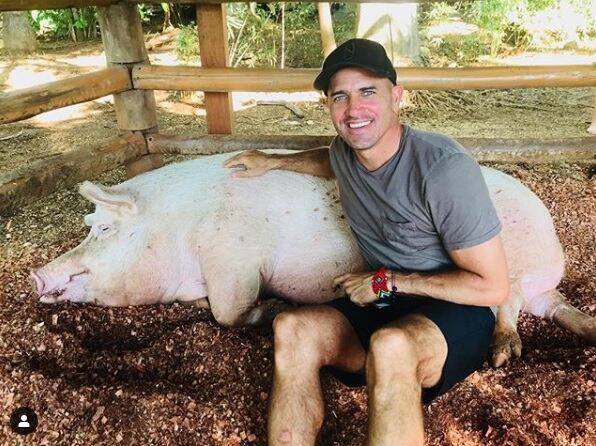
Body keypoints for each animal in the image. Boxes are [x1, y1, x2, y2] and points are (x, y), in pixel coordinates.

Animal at [31, 152, 596, 367]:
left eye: (105, 229)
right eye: (87, 227)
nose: (36, 274)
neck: (179, 228)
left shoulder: (234, 256)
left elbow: (227, 311)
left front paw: (277, 308)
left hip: (509, 264)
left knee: (507, 301)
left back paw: (503, 354)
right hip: (542, 289)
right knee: (548, 306)